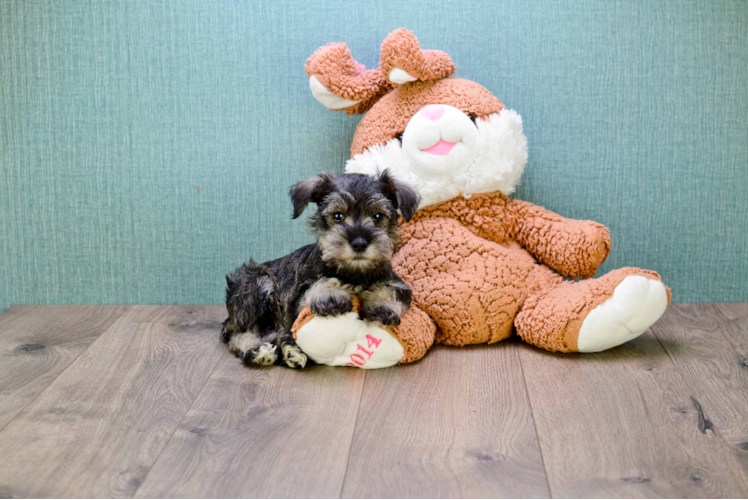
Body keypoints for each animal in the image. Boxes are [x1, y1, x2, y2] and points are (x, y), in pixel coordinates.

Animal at [221, 170, 420, 370]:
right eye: (337, 216)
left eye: (378, 216)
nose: (359, 243)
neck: (354, 274)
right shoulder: (297, 295)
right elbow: (321, 281)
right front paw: (331, 295)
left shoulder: (397, 283)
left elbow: (387, 287)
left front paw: (381, 305)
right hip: (257, 283)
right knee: (240, 335)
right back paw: (259, 352)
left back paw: (290, 352)